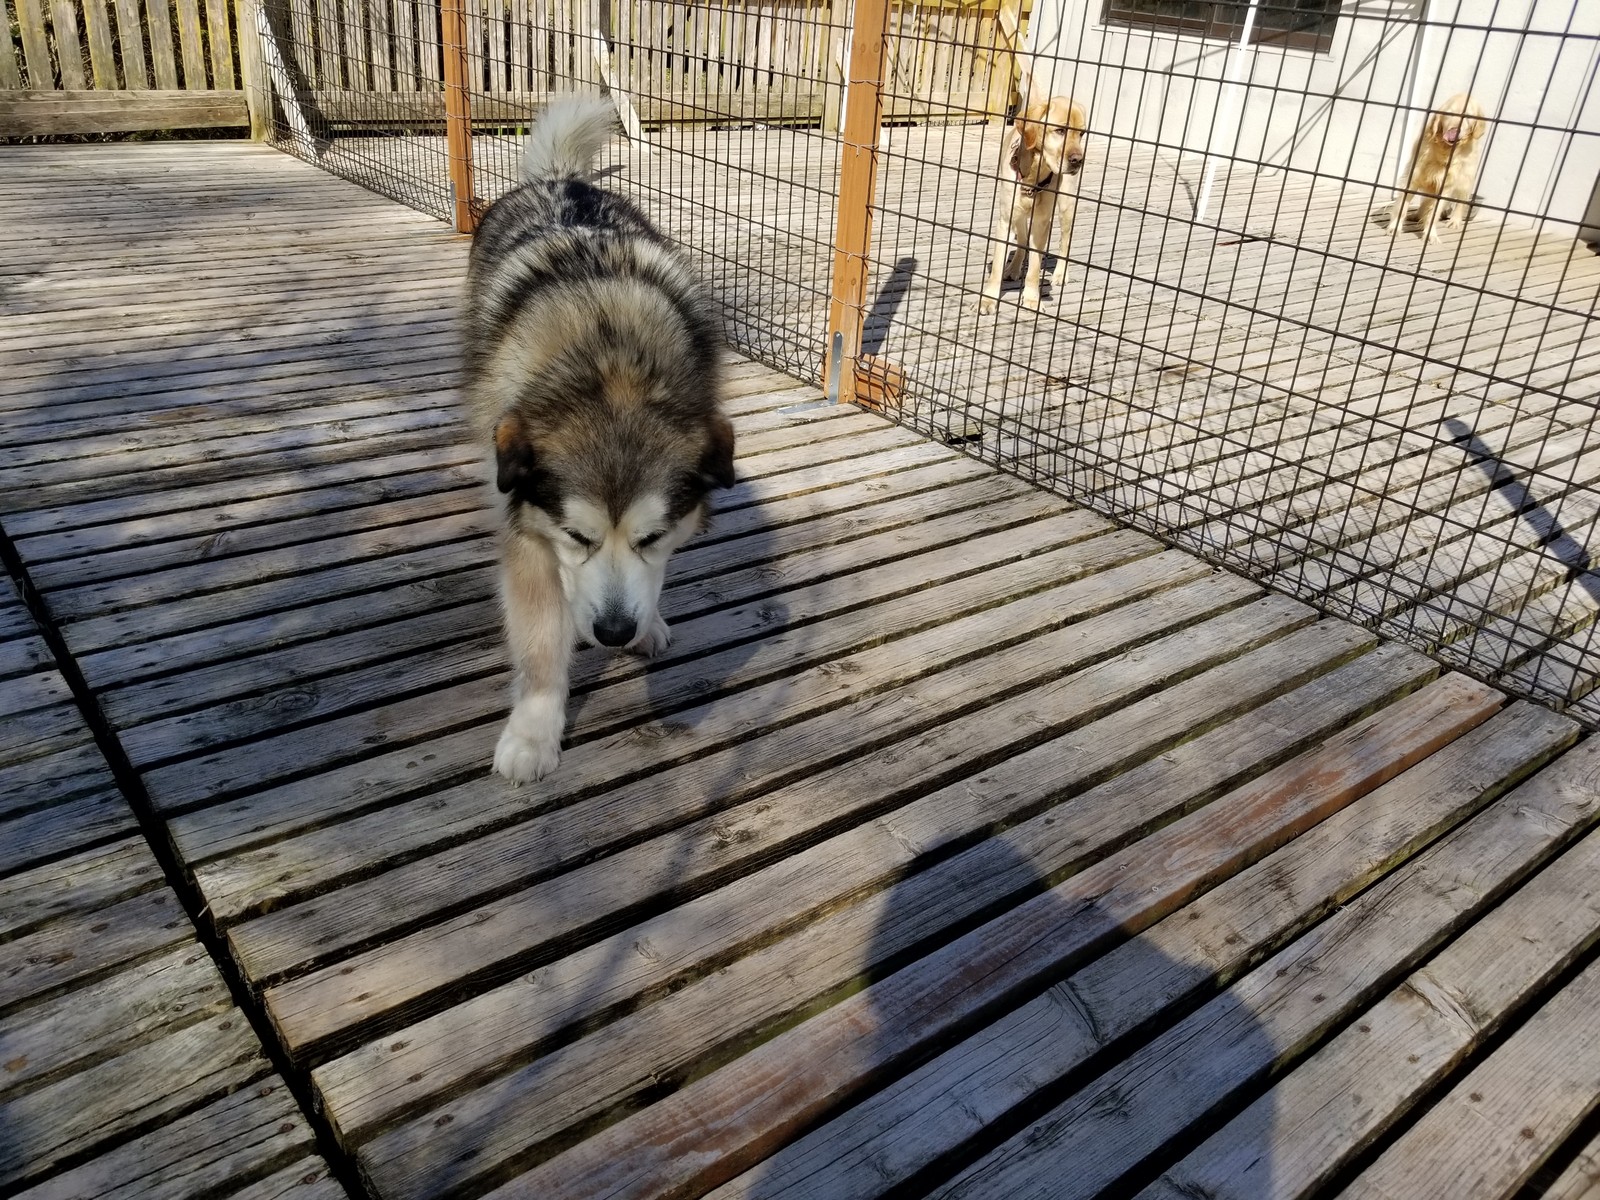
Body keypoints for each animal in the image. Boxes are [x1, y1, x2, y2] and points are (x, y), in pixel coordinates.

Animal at [463, 94, 736, 783]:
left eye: (652, 537)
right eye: (577, 537)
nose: (613, 633)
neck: (611, 363)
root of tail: (561, 179)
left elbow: (654, 578)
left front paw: (650, 621)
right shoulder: (528, 531)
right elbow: (539, 641)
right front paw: (534, 731)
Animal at [978, 96, 1088, 314]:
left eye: (1081, 134)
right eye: (1060, 131)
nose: (1078, 160)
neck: (1034, 173)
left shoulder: (1041, 224)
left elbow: (1035, 268)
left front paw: (1031, 299)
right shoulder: (1006, 219)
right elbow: (997, 265)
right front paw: (988, 300)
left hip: (1066, 207)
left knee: (1065, 241)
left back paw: (1060, 274)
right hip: (1019, 216)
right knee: (1021, 241)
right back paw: (1013, 269)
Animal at [1387, 92, 1488, 242]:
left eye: (1468, 116)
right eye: (1450, 113)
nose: (1455, 130)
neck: (1445, 151)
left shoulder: (1445, 186)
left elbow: (1434, 213)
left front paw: (1430, 235)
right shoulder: (1413, 178)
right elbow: (1402, 207)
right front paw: (1394, 228)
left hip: (1465, 179)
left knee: (1460, 201)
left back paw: (1454, 221)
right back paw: (1417, 215)